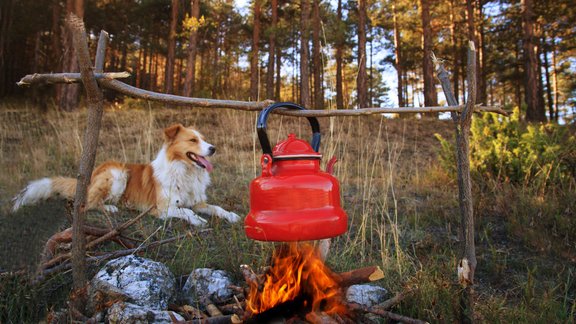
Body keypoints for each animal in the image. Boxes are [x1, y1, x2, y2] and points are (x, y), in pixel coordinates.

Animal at [11, 123, 241, 227]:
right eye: (193, 140)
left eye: (204, 139)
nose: (213, 148)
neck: (185, 171)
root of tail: (91, 175)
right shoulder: (162, 209)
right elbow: (185, 211)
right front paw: (197, 220)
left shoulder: (198, 201)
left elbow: (216, 208)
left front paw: (232, 215)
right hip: (118, 173)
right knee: (87, 203)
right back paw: (110, 208)